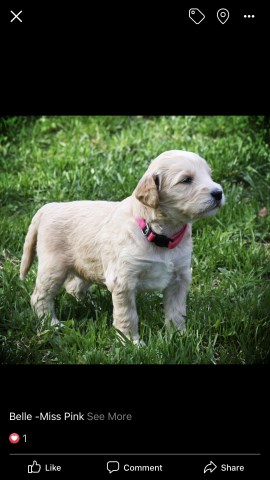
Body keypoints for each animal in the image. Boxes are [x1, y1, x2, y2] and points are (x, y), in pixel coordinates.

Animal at [20, 150, 225, 342]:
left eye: (209, 175)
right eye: (186, 180)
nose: (219, 192)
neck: (158, 233)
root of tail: (49, 207)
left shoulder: (179, 277)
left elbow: (177, 312)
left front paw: (179, 336)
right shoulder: (123, 281)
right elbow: (128, 316)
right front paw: (131, 342)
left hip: (85, 262)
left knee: (73, 285)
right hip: (53, 267)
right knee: (40, 296)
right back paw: (51, 323)